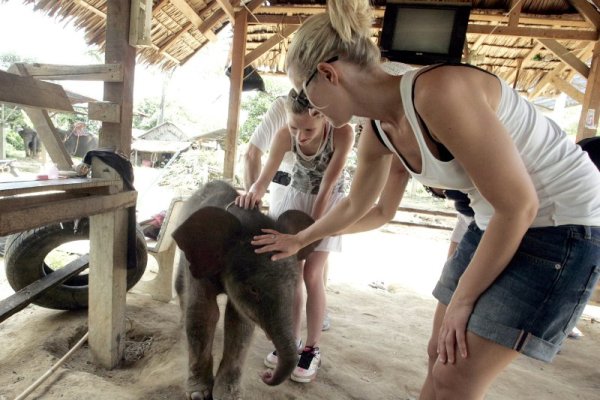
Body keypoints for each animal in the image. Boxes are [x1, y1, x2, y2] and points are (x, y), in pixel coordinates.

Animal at [171, 181, 316, 400]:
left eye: (295, 286)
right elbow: (204, 314)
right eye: (254, 289)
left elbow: (240, 322)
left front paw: (227, 395)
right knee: (181, 287)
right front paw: (198, 393)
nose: (265, 375)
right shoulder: (200, 263)